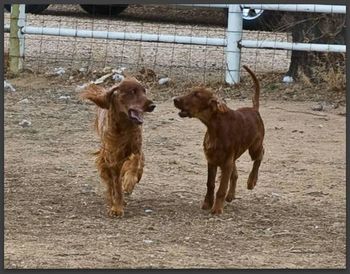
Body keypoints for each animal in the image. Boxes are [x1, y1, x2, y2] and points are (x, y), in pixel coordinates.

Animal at [172, 66, 266, 214]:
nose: (175, 100)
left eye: (196, 95)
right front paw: (207, 203)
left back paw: (251, 181)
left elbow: (221, 188)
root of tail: (254, 109)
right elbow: (210, 184)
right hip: (233, 157)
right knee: (235, 174)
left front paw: (216, 208)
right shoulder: (212, 160)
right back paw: (231, 195)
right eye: (190, 91)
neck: (214, 127)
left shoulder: (226, 163)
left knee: (260, 155)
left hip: (254, 147)